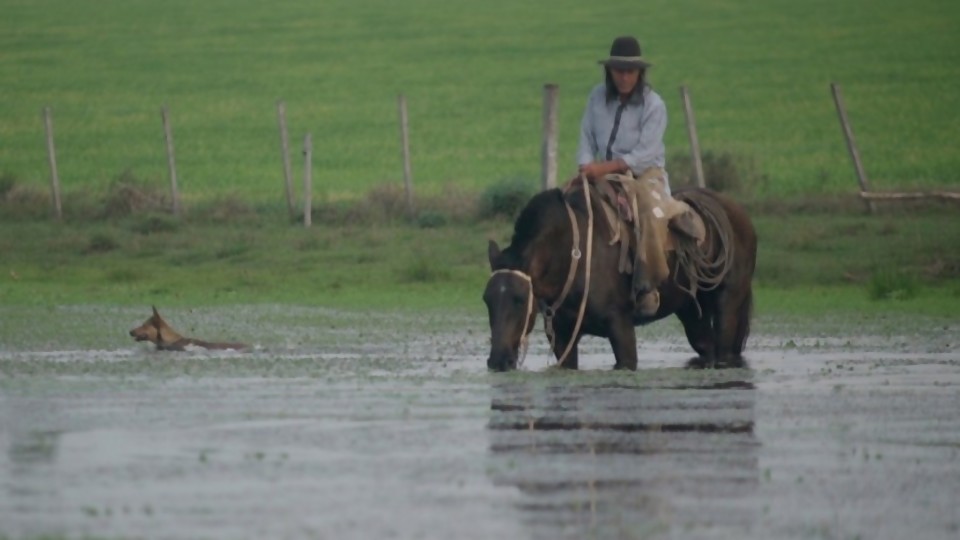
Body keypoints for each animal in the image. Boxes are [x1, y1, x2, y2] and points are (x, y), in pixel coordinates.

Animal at [484, 186, 752, 372]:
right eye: (486, 299)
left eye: (519, 299)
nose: (498, 360)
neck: (574, 257)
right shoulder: (562, 337)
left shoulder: (621, 328)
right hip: (692, 312)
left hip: (728, 304)